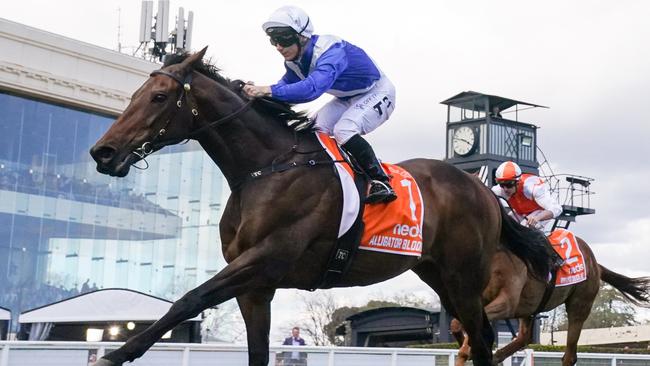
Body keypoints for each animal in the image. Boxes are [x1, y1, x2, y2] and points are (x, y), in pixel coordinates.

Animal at [88, 48, 556, 366]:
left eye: (159, 97)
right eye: (136, 93)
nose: (103, 152)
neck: (265, 168)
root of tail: (483, 190)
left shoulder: (266, 258)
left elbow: (189, 299)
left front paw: (116, 353)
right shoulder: (257, 287)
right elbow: (255, 351)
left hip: (463, 276)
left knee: (481, 339)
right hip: (439, 275)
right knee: (478, 337)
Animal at [448, 234, 648, 366]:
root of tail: (596, 264)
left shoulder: (506, 302)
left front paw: (469, 348)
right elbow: (456, 325)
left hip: (579, 305)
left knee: (569, 355)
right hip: (529, 307)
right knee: (524, 338)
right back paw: (496, 356)